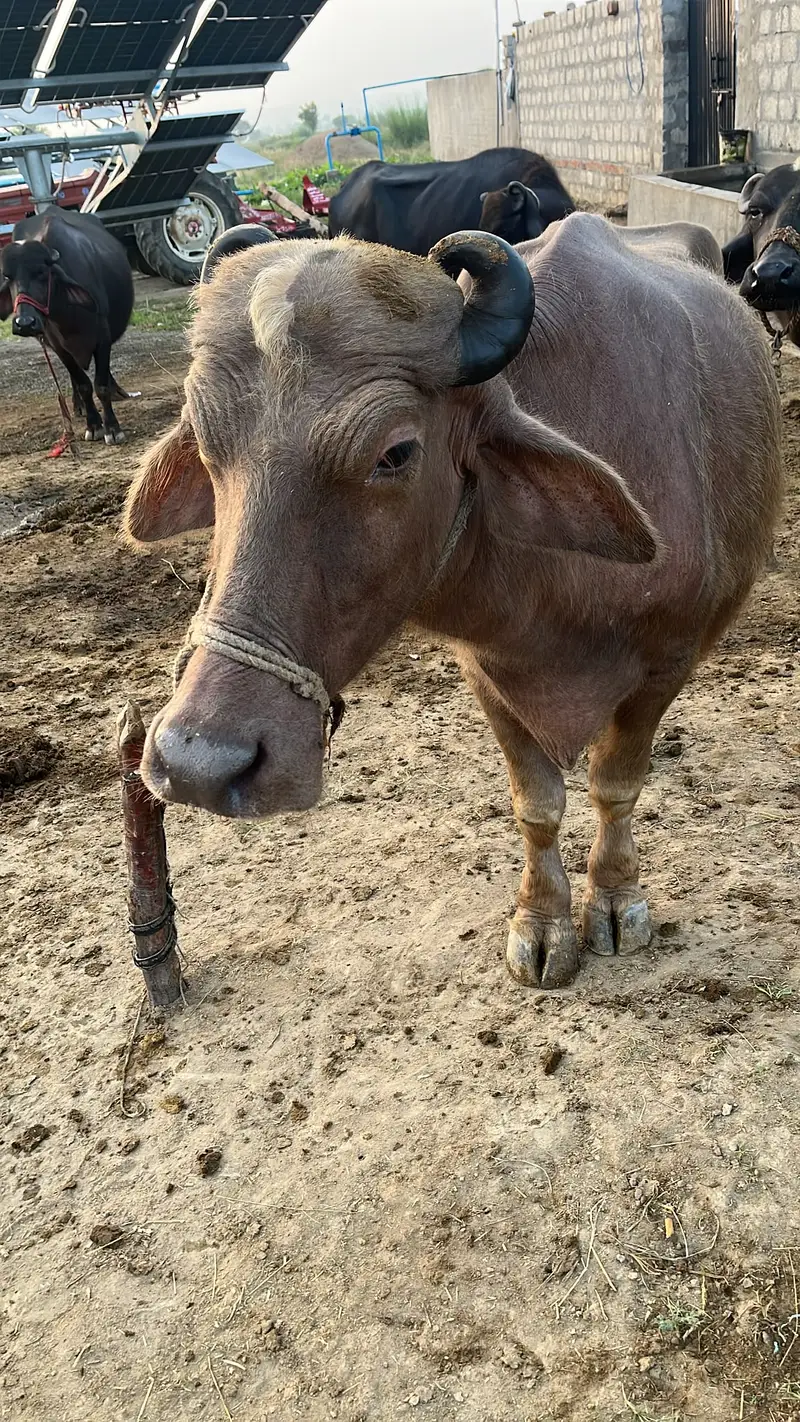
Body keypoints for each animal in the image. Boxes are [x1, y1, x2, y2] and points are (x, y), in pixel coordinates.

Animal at [123, 217, 780, 989]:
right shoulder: (486, 669)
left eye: (396, 453)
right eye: (204, 438)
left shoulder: (667, 661)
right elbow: (537, 804)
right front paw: (542, 921)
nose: (200, 762)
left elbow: (615, 787)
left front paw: (616, 900)